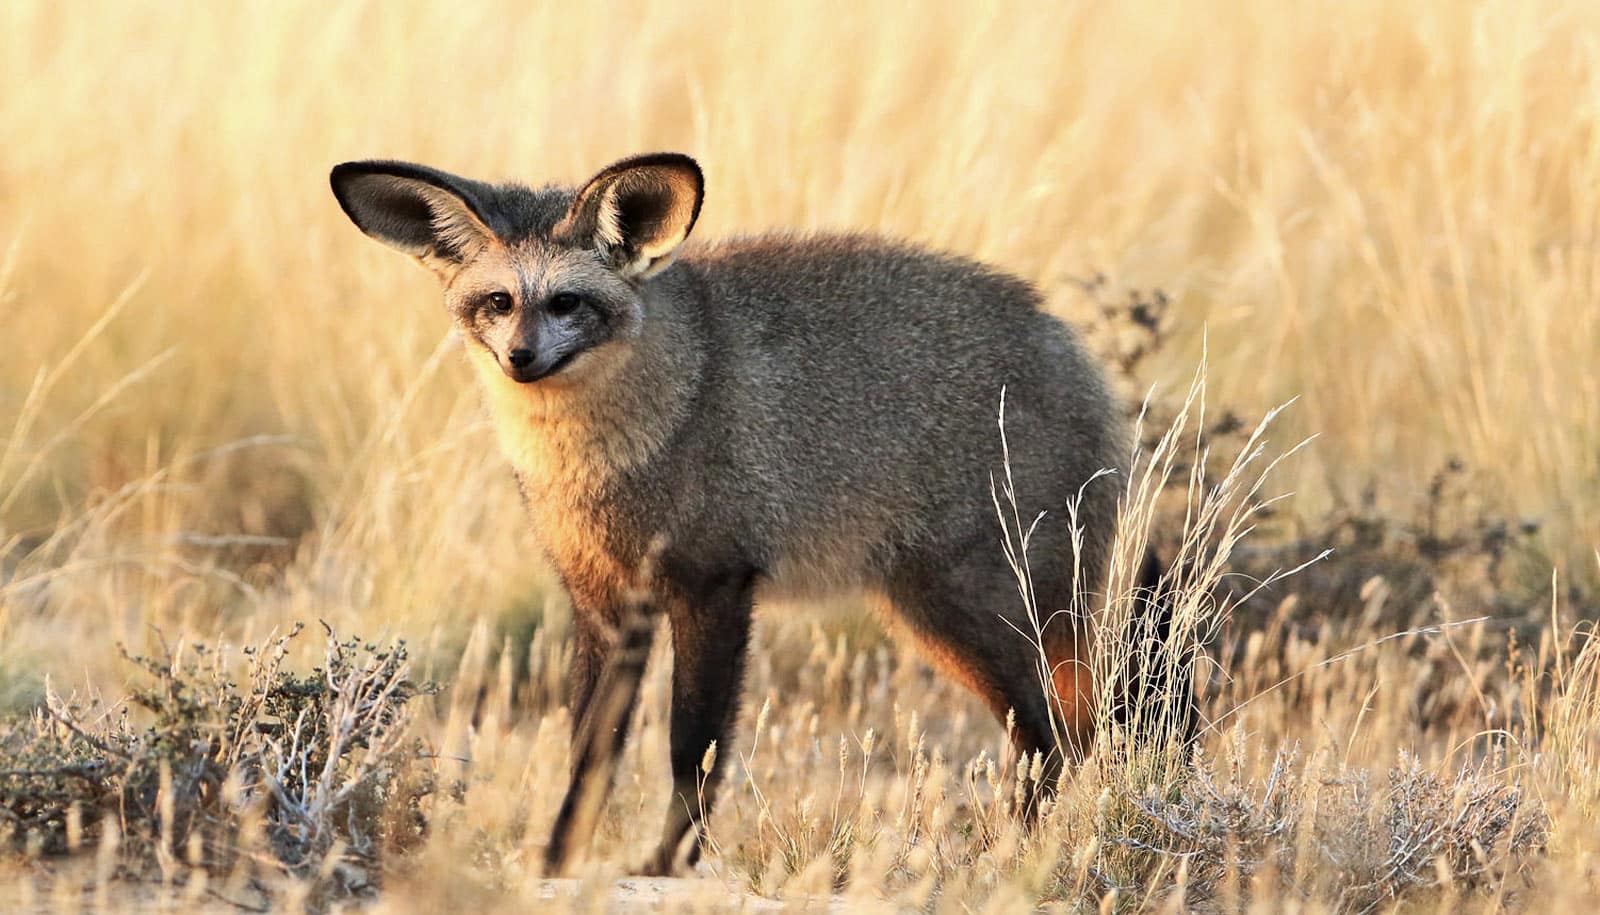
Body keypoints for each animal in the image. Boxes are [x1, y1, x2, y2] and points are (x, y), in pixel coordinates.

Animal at [331, 153, 1184, 876]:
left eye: (567, 302)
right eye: (498, 302)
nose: (519, 359)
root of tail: (1074, 351)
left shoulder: (714, 585)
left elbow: (693, 746)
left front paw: (667, 864)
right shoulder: (604, 601)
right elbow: (589, 752)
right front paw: (556, 861)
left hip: (962, 610)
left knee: (1057, 737)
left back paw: (1000, 859)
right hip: (948, 614)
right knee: (1074, 731)